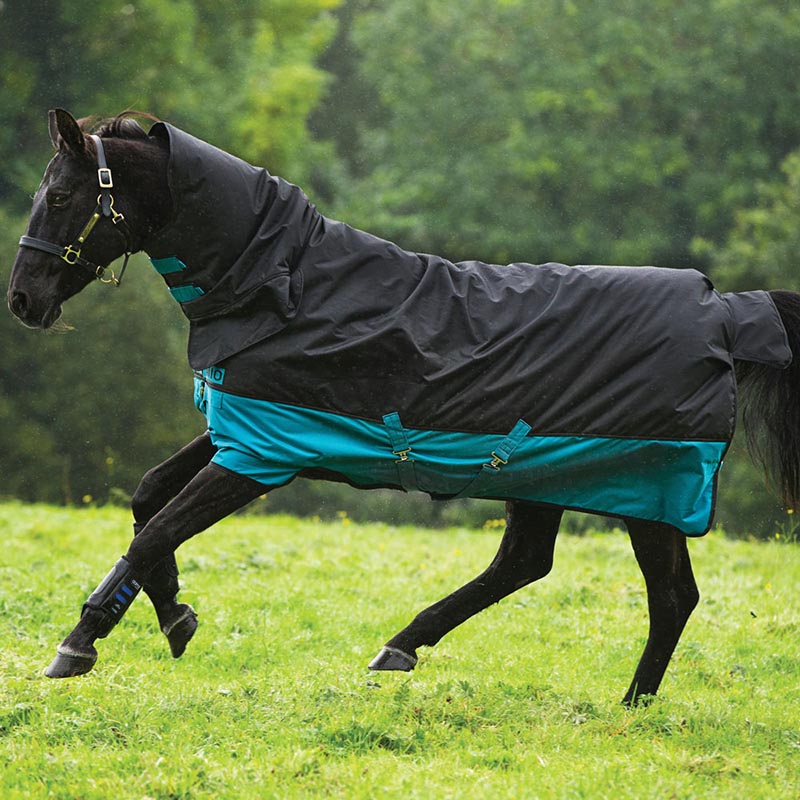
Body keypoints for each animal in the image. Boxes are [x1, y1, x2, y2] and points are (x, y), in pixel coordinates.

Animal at [8, 109, 800, 705]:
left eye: (60, 197)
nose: (23, 300)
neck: (283, 285)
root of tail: (724, 310)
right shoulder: (246, 424)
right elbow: (148, 501)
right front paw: (172, 615)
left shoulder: (262, 454)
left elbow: (155, 532)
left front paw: (80, 644)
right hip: (544, 477)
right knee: (526, 563)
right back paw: (403, 647)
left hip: (648, 488)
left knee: (669, 597)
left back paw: (629, 706)